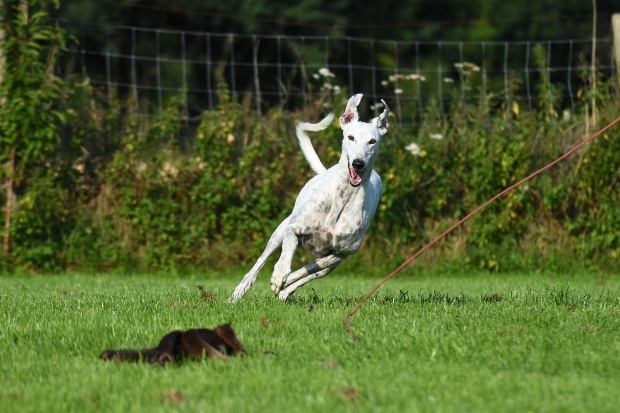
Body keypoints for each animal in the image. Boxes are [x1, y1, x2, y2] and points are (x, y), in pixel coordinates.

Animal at [230, 93, 390, 300]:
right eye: (350, 137)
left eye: (372, 141)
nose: (358, 163)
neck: (342, 198)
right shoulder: (294, 229)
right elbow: (289, 248)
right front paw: (279, 274)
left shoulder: (342, 253)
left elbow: (308, 270)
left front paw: (284, 281)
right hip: (280, 230)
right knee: (261, 260)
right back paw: (239, 293)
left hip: (331, 264)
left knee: (312, 273)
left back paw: (285, 292)